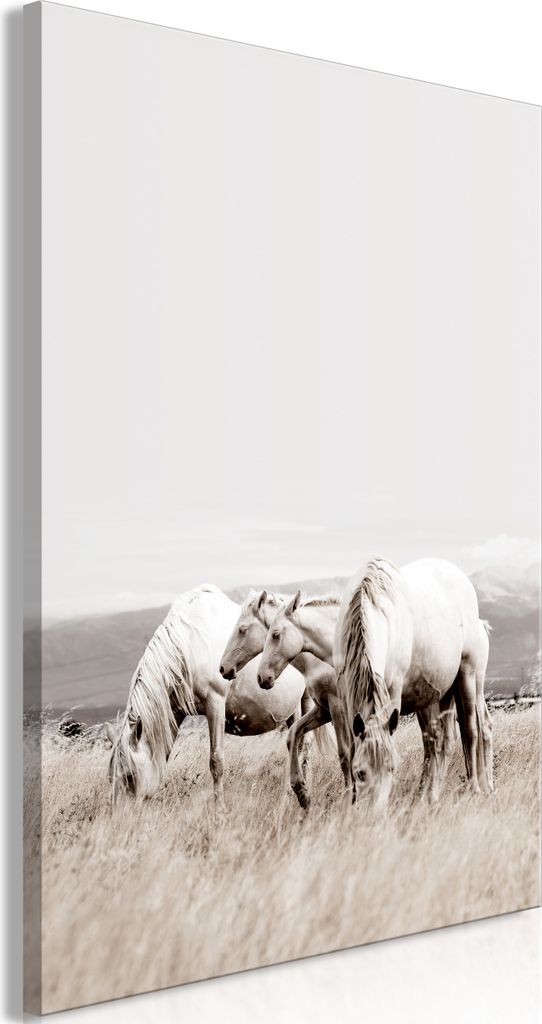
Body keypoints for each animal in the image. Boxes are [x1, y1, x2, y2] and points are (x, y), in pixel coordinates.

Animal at [105, 584, 306, 810]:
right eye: (110, 778)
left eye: (129, 776)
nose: (119, 816)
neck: (188, 645)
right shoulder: (174, 712)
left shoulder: (215, 703)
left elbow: (216, 762)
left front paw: (220, 810)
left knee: (300, 746)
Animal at [257, 585, 462, 804]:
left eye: (275, 634)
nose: (261, 677)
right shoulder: (327, 710)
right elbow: (295, 733)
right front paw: (302, 791)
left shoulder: (344, 709)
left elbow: (347, 754)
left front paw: (351, 797)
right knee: (437, 745)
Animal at [333, 557, 494, 808]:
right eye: (360, 773)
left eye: (392, 769)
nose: (373, 813)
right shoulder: (344, 696)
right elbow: (350, 748)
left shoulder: (392, 693)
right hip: (443, 693)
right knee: (442, 741)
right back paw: (431, 795)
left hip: (469, 677)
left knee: (471, 730)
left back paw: (476, 788)